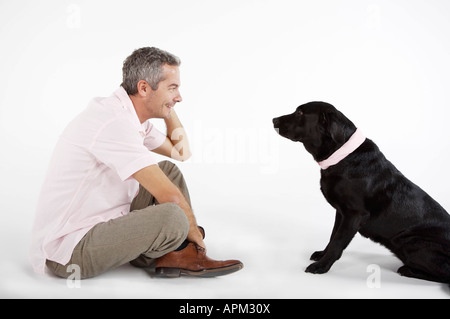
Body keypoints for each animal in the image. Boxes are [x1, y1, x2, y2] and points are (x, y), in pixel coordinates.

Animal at [272, 102, 448, 284]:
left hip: (412, 242)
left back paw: (407, 270)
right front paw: (322, 255)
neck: (343, 155)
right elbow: (333, 236)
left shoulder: (354, 214)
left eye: (300, 113)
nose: (274, 120)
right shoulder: (341, 213)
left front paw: (321, 266)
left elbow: (338, 242)